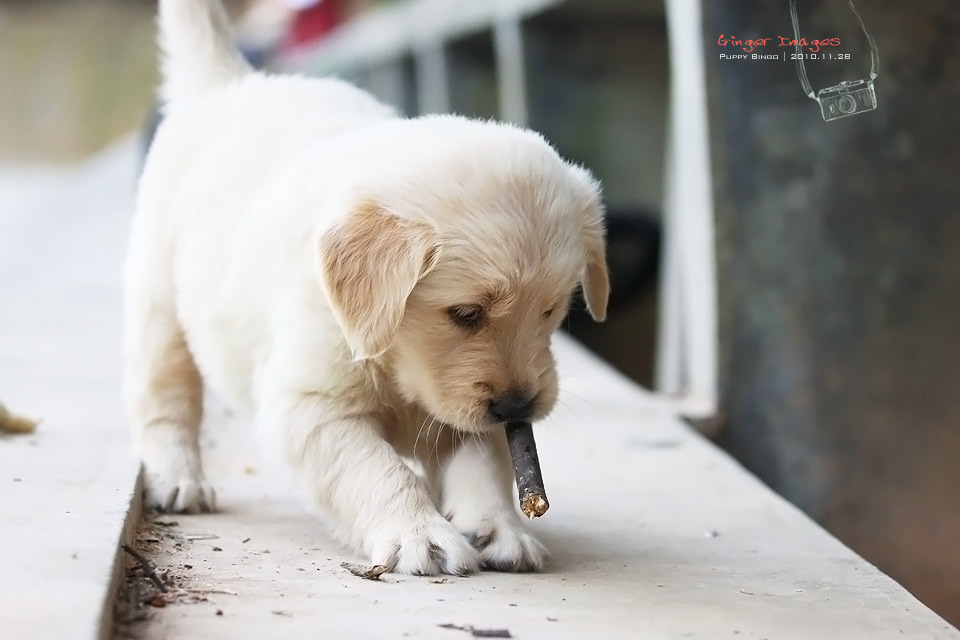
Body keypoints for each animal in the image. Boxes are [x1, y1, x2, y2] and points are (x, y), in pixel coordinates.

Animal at [125, 0, 608, 576]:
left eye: (551, 312)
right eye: (466, 313)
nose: (517, 408)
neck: (396, 354)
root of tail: (232, 82)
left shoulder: (461, 414)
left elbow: (484, 463)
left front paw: (500, 527)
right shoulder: (310, 404)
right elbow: (374, 469)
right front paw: (418, 533)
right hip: (159, 305)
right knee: (166, 399)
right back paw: (179, 477)